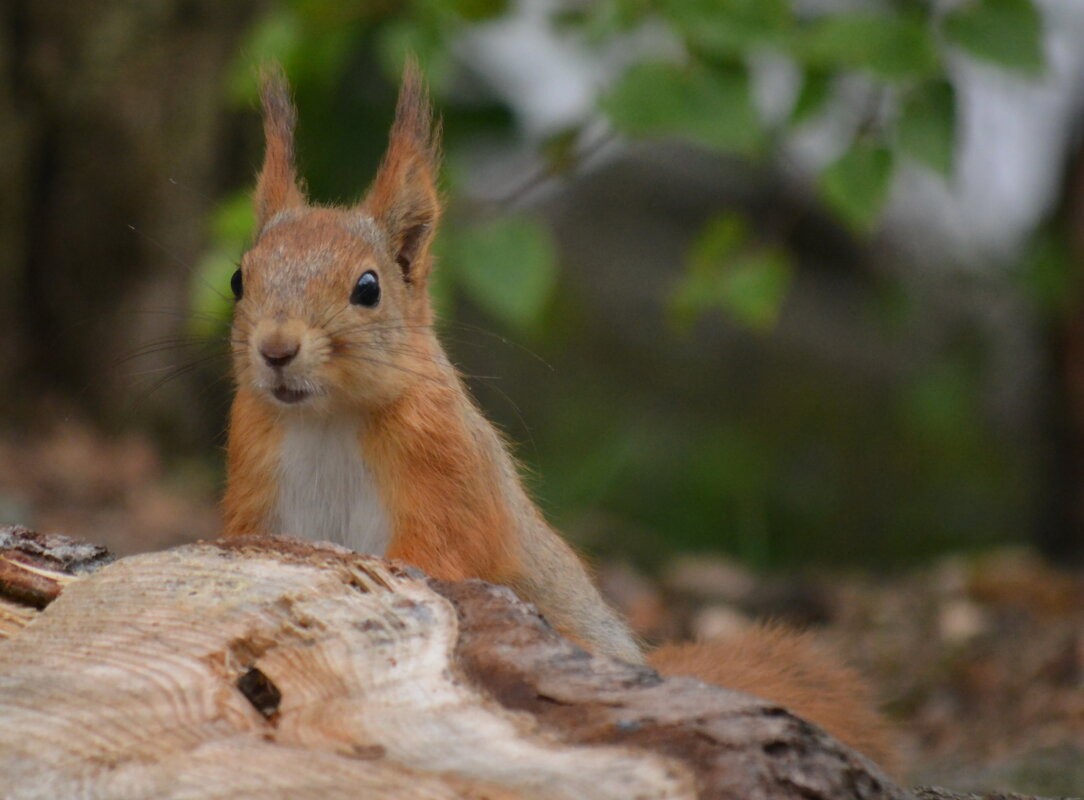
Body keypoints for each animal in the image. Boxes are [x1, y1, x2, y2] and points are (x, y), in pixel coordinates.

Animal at [220, 63, 897, 767]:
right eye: (239, 279)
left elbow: (438, 558)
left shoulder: (450, 480)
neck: (326, 420)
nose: (276, 349)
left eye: (368, 288)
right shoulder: (253, 480)